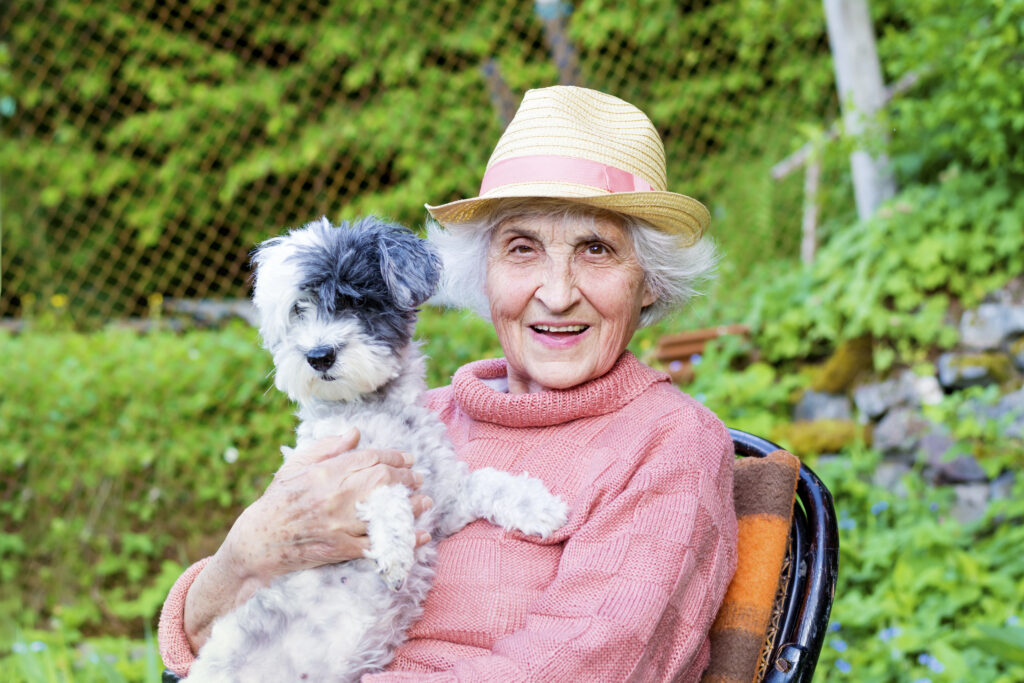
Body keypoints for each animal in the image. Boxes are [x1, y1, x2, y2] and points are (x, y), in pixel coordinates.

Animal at [185, 219, 569, 683]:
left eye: (355, 301)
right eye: (298, 310)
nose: (318, 355)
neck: (377, 408)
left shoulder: (444, 502)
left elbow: (488, 482)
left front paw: (539, 506)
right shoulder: (348, 470)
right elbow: (385, 489)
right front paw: (395, 551)